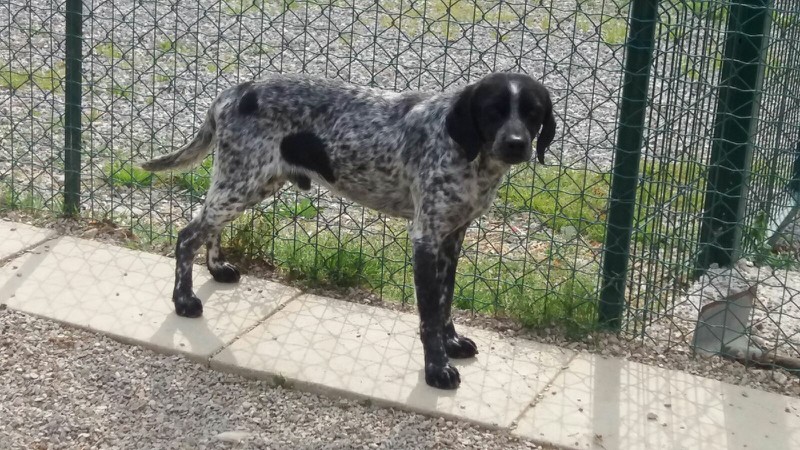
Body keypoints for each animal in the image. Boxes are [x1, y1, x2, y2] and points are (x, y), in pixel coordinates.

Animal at [141, 72, 556, 389]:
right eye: (492, 111)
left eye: (533, 112)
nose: (516, 144)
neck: (469, 156)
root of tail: (239, 90)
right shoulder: (426, 238)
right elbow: (428, 315)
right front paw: (437, 370)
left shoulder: (452, 238)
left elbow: (445, 302)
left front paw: (451, 342)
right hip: (241, 183)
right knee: (187, 235)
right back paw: (183, 301)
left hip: (249, 185)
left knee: (207, 228)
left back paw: (217, 268)